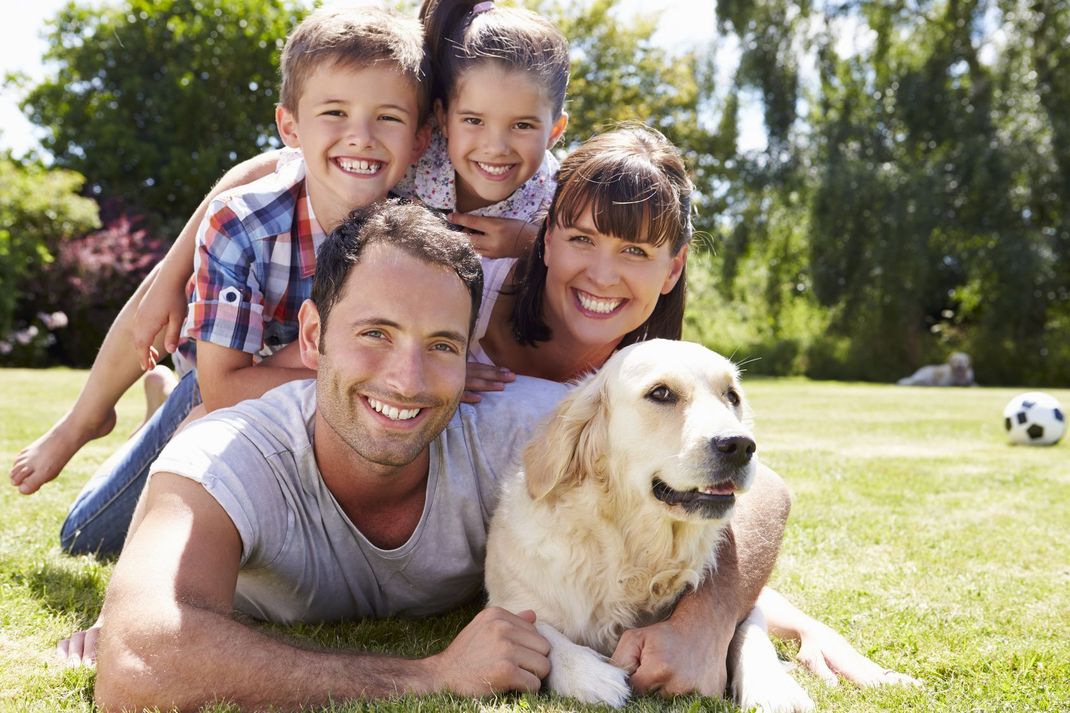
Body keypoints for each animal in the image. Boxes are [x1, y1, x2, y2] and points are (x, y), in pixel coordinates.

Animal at [485, 342, 808, 706]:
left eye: (732, 396)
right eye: (661, 393)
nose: (740, 445)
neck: (635, 552)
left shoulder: (747, 610)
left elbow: (749, 629)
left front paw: (773, 687)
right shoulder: (513, 597)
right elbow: (536, 628)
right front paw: (590, 675)